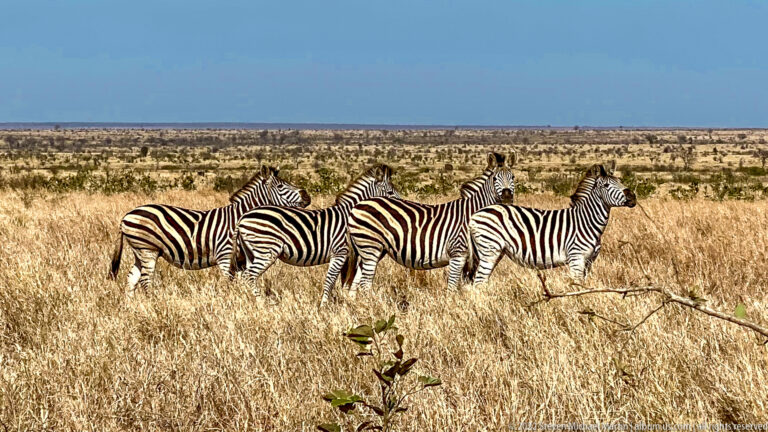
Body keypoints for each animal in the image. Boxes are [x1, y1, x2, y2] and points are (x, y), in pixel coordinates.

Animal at [108, 165, 311, 292]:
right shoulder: (225, 257)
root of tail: (126, 215)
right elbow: (228, 285)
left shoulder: (240, 261)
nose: (307, 196)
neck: (239, 217)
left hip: (140, 252)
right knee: (145, 281)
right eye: (281, 186)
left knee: (131, 280)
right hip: (147, 249)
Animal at [229, 164, 399, 305]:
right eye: (390, 192)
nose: (401, 205)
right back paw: (261, 304)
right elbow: (330, 280)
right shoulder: (340, 251)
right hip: (267, 251)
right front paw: (324, 306)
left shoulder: (350, 255)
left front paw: (346, 303)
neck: (349, 215)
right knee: (249, 276)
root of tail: (243, 217)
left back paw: (248, 301)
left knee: (246, 276)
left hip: (251, 252)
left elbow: (346, 280)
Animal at [342, 152, 516, 295]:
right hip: (370, 246)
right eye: (495, 179)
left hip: (371, 250)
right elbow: (453, 287)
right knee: (365, 283)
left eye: (513, 177)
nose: (507, 197)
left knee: (357, 278)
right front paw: (451, 307)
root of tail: (357, 206)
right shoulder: (458, 253)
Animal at [467, 164, 636, 285]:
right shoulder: (576, 258)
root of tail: (474, 215)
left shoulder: (589, 262)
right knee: (479, 282)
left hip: (496, 251)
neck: (586, 222)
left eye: (621, 181)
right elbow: (578, 286)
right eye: (606, 186)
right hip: (490, 249)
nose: (633, 197)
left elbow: (586, 285)